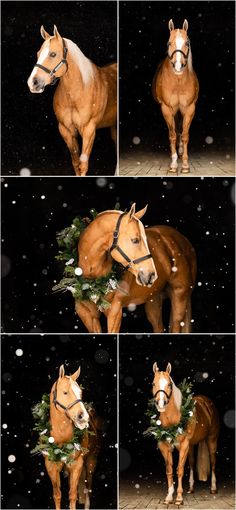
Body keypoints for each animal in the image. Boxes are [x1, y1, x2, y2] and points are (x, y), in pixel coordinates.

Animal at [27, 25, 117, 175]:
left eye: (53, 54)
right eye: (38, 53)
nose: (33, 83)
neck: (78, 93)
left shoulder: (89, 130)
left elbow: (83, 164)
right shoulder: (66, 130)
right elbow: (75, 163)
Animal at [43, 364, 100, 508]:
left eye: (80, 393)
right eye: (65, 392)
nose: (83, 417)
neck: (61, 437)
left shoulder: (77, 465)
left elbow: (73, 495)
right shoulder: (51, 466)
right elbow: (57, 495)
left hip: (91, 461)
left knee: (87, 487)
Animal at [74, 203, 196, 334]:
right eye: (135, 240)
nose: (151, 275)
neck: (94, 279)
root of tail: (183, 240)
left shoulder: (115, 311)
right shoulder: (87, 314)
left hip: (179, 296)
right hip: (154, 300)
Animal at [151, 362, 219, 506]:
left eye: (169, 385)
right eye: (153, 384)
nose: (161, 404)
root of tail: (207, 402)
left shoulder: (183, 445)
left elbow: (180, 470)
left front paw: (179, 498)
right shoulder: (164, 446)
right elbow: (169, 470)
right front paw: (169, 497)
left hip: (211, 440)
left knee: (213, 462)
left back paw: (213, 488)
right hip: (191, 446)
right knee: (192, 463)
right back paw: (191, 489)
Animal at [153, 19, 199, 173]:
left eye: (187, 43)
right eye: (169, 43)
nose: (178, 66)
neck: (178, 82)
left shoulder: (189, 108)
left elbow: (184, 135)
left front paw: (184, 165)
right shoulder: (167, 109)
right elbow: (172, 135)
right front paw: (173, 165)